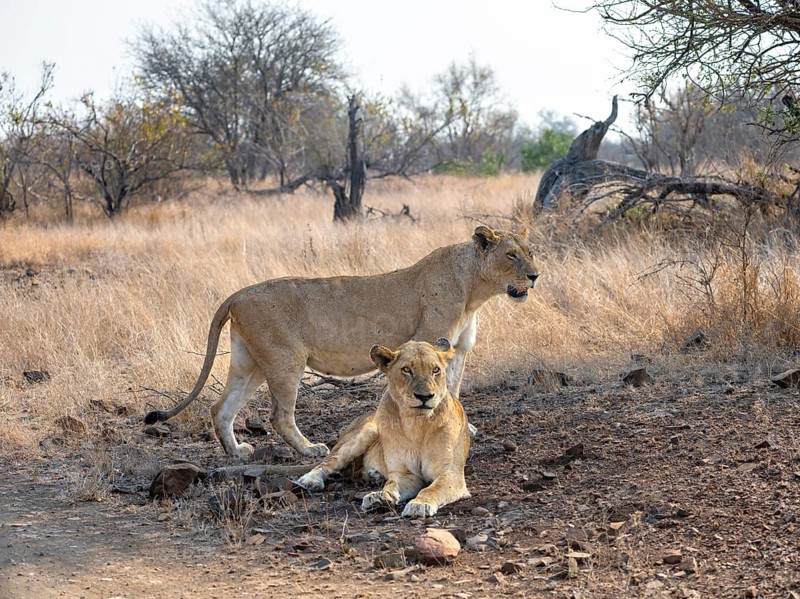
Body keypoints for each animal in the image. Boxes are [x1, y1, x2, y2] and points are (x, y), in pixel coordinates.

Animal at [144, 225, 539, 460]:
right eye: (511, 255)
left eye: (531, 252)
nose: (536, 276)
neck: (474, 289)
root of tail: (238, 294)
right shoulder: (428, 340)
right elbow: (431, 390)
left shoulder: (455, 351)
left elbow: (452, 390)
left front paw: (461, 427)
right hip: (286, 359)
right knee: (279, 416)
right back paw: (310, 449)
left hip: (249, 362)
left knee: (220, 408)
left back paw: (237, 453)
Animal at [294, 338, 470, 518]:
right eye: (406, 370)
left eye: (435, 370)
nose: (424, 397)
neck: (417, 424)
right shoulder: (404, 473)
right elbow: (392, 485)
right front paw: (380, 497)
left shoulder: (450, 473)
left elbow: (432, 489)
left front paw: (419, 504)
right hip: (367, 432)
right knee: (327, 463)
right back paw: (310, 480)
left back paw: (373, 476)